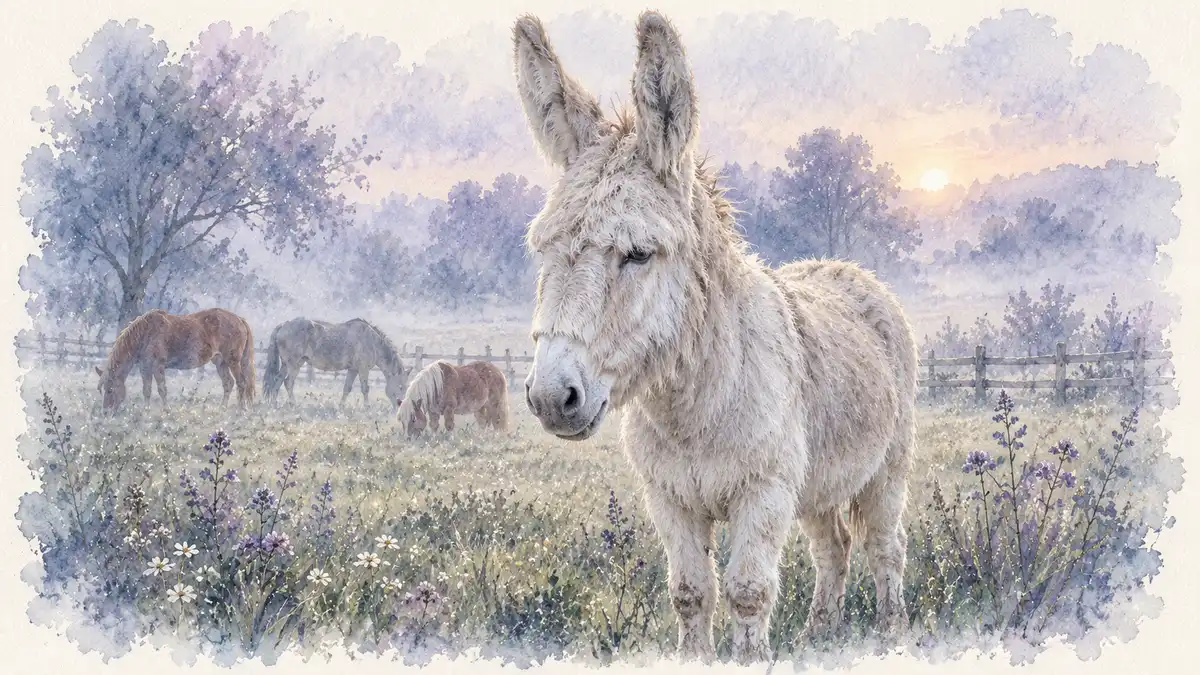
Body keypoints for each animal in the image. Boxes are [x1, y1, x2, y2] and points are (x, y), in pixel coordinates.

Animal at [95, 307, 256, 412]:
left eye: (110, 389)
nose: (106, 412)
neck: (146, 332)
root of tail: (240, 319)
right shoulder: (145, 367)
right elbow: (146, 390)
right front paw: (146, 410)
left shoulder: (158, 366)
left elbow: (162, 389)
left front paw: (166, 410)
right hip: (220, 362)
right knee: (228, 383)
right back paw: (222, 408)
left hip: (233, 361)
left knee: (241, 383)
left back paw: (241, 410)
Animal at [262, 317, 411, 408]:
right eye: (401, 386)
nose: (400, 404)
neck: (372, 342)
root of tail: (283, 325)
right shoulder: (363, 369)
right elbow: (365, 389)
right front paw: (367, 407)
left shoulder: (353, 370)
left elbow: (347, 388)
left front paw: (341, 406)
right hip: (294, 364)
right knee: (288, 382)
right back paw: (293, 403)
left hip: (286, 365)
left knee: (278, 380)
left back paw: (274, 404)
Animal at [512, 12, 918, 664]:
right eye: (543, 250)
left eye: (638, 254)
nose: (552, 397)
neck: (694, 407)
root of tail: (846, 268)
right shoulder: (669, 499)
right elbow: (690, 593)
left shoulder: (765, 493)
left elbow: (749, 593)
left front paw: (754, 656)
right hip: (818, 483)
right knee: (833, 546)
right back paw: (818, 636)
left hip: (886, 469)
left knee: (885, 547)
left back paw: (891, 638)